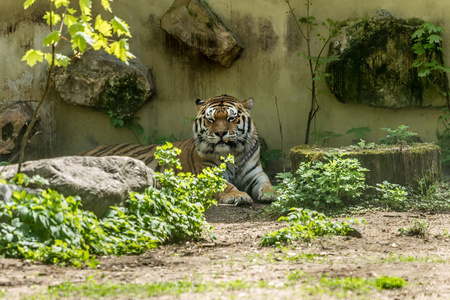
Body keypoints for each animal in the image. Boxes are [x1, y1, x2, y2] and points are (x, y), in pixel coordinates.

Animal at [82, 95, 276, 205]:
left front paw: (273, 193)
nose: (221, 133)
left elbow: (266, 184)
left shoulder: (255, 174)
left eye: (231, 118)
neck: (233, 154)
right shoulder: (208, 175)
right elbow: (226, 185)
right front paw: (238, 195)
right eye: (211, 120)